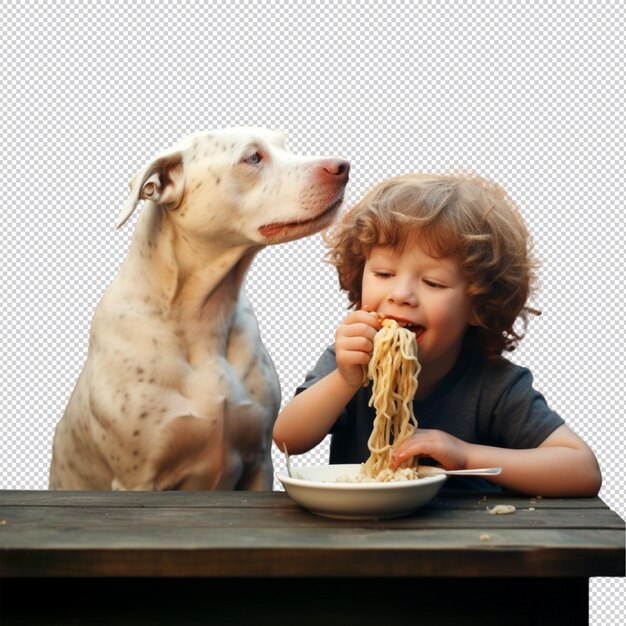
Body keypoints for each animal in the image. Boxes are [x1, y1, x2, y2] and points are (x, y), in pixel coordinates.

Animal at [48, 127, 348, 488]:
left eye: (286, 145)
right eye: (253, 157)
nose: (342, 166)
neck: (204, 314)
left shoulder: (259, 461)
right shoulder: (137, 478)